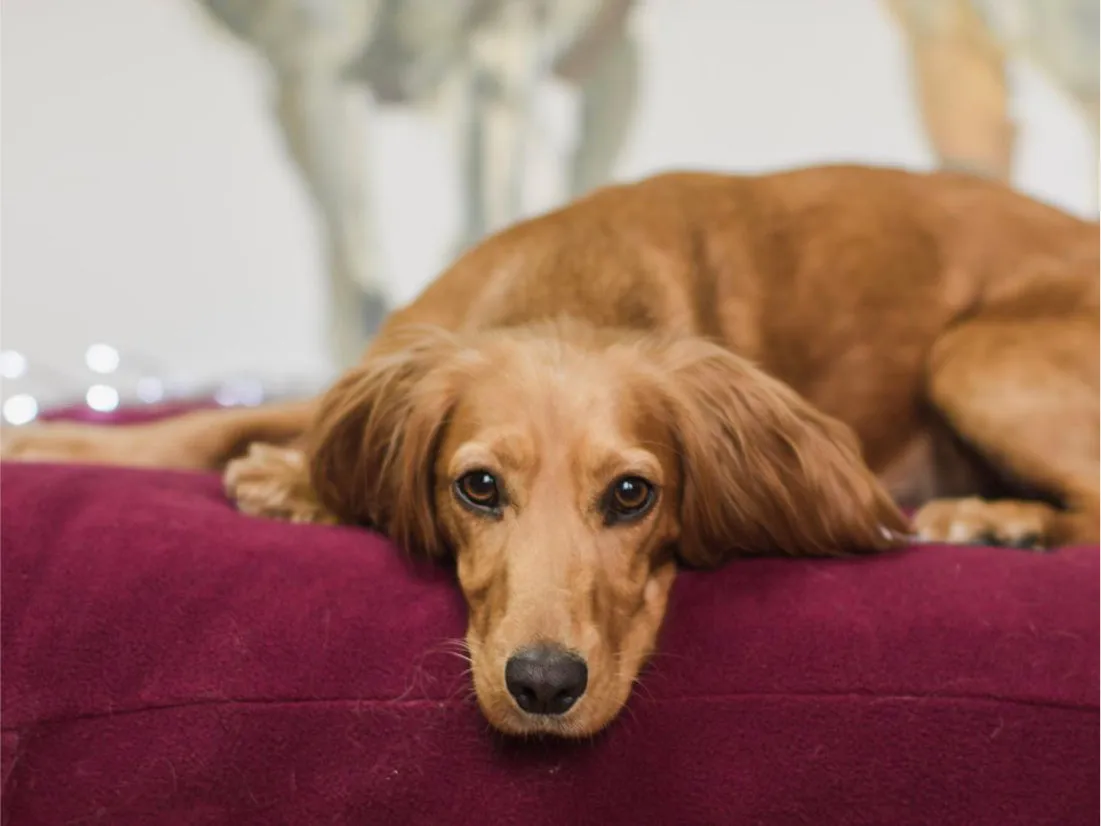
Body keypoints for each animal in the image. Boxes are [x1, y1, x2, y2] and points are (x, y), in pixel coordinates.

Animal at [4, 166, 1096, 735]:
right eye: (478, 487)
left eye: (633, 495)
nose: (541, 687)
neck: (574, 283)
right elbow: (208, 422)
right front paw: (51, 436)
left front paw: (291, 483)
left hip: (977, 352)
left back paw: (997, 519)